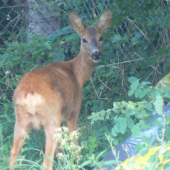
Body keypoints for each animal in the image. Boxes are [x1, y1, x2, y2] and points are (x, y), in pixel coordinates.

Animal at [9, 8, 113, 170]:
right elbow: (74, 145)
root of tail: (29, 94)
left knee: (13, 154)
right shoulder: (72, 112)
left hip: (20, 119)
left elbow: (61, 151)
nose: (96, 54)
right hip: (52, 116)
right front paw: (78, 162)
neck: (77, 74)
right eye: (84, 40)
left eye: (101, 37)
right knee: (46, 162)